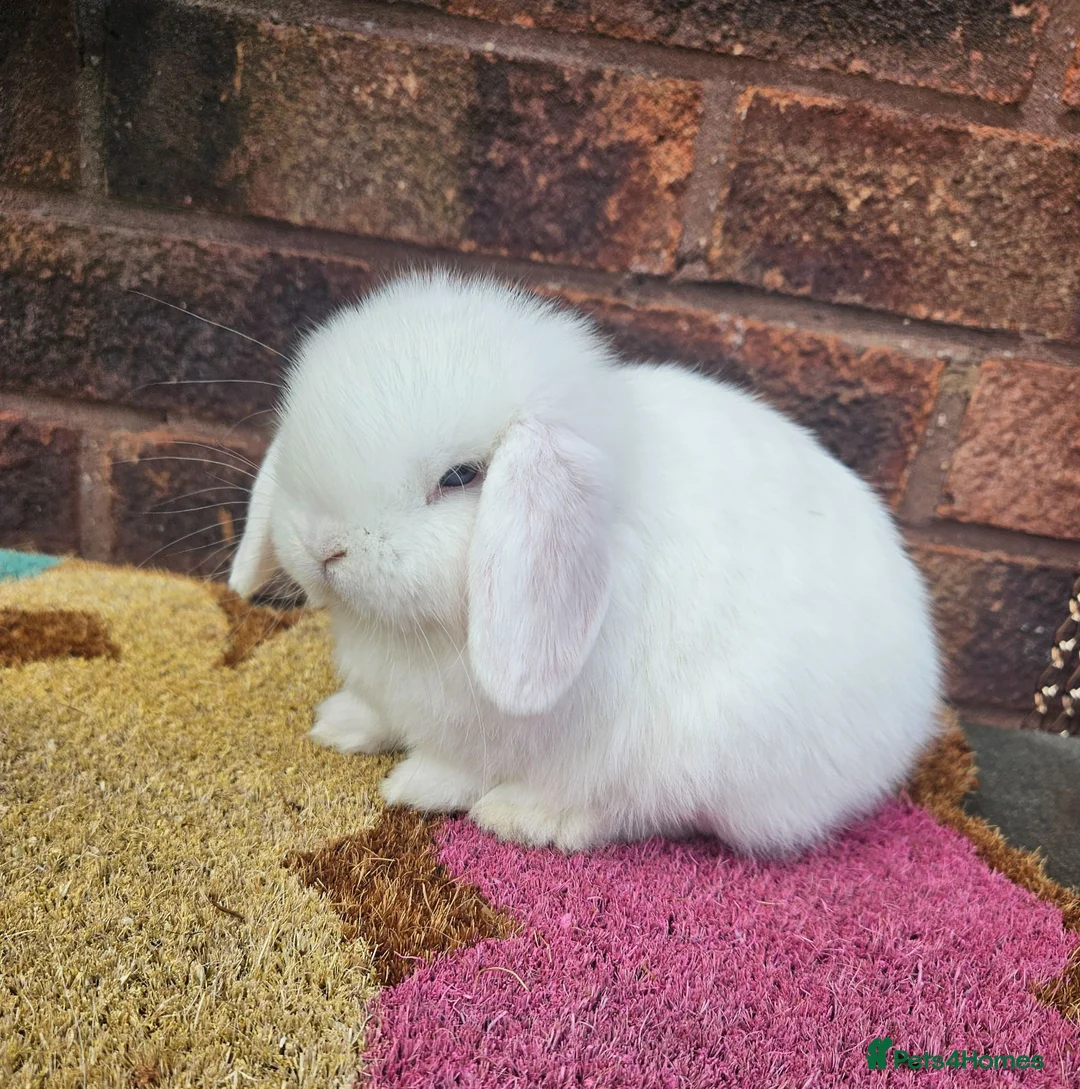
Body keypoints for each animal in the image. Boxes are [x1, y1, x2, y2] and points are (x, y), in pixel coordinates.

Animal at [229, 270, 942, 856]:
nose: (324, 546)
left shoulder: (502, 733)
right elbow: (376, 713)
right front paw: (339, 724)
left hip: (706, 755)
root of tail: (910, 714)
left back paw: (521, 816)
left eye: (460, 476)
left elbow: (460, 766)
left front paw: (413, 787)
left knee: (630, 810)